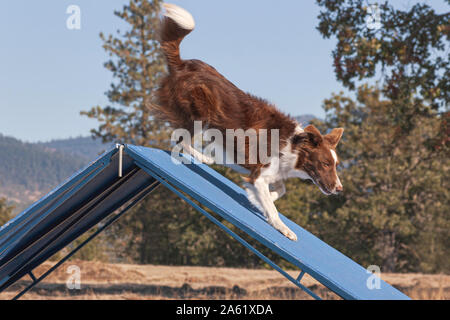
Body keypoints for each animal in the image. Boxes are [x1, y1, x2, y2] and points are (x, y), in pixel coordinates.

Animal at [151, 4, 344, 240]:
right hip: (203, 113)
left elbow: (280, 190)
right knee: (180, 141)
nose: (339, 189)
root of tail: (182, 64)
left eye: (335, 165)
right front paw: (284, 228)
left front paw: (256, 198)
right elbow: (272, 205)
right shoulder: (259, 175)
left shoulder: (268, 171)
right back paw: (204, 157)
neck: (293, 147)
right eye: (325, 164)